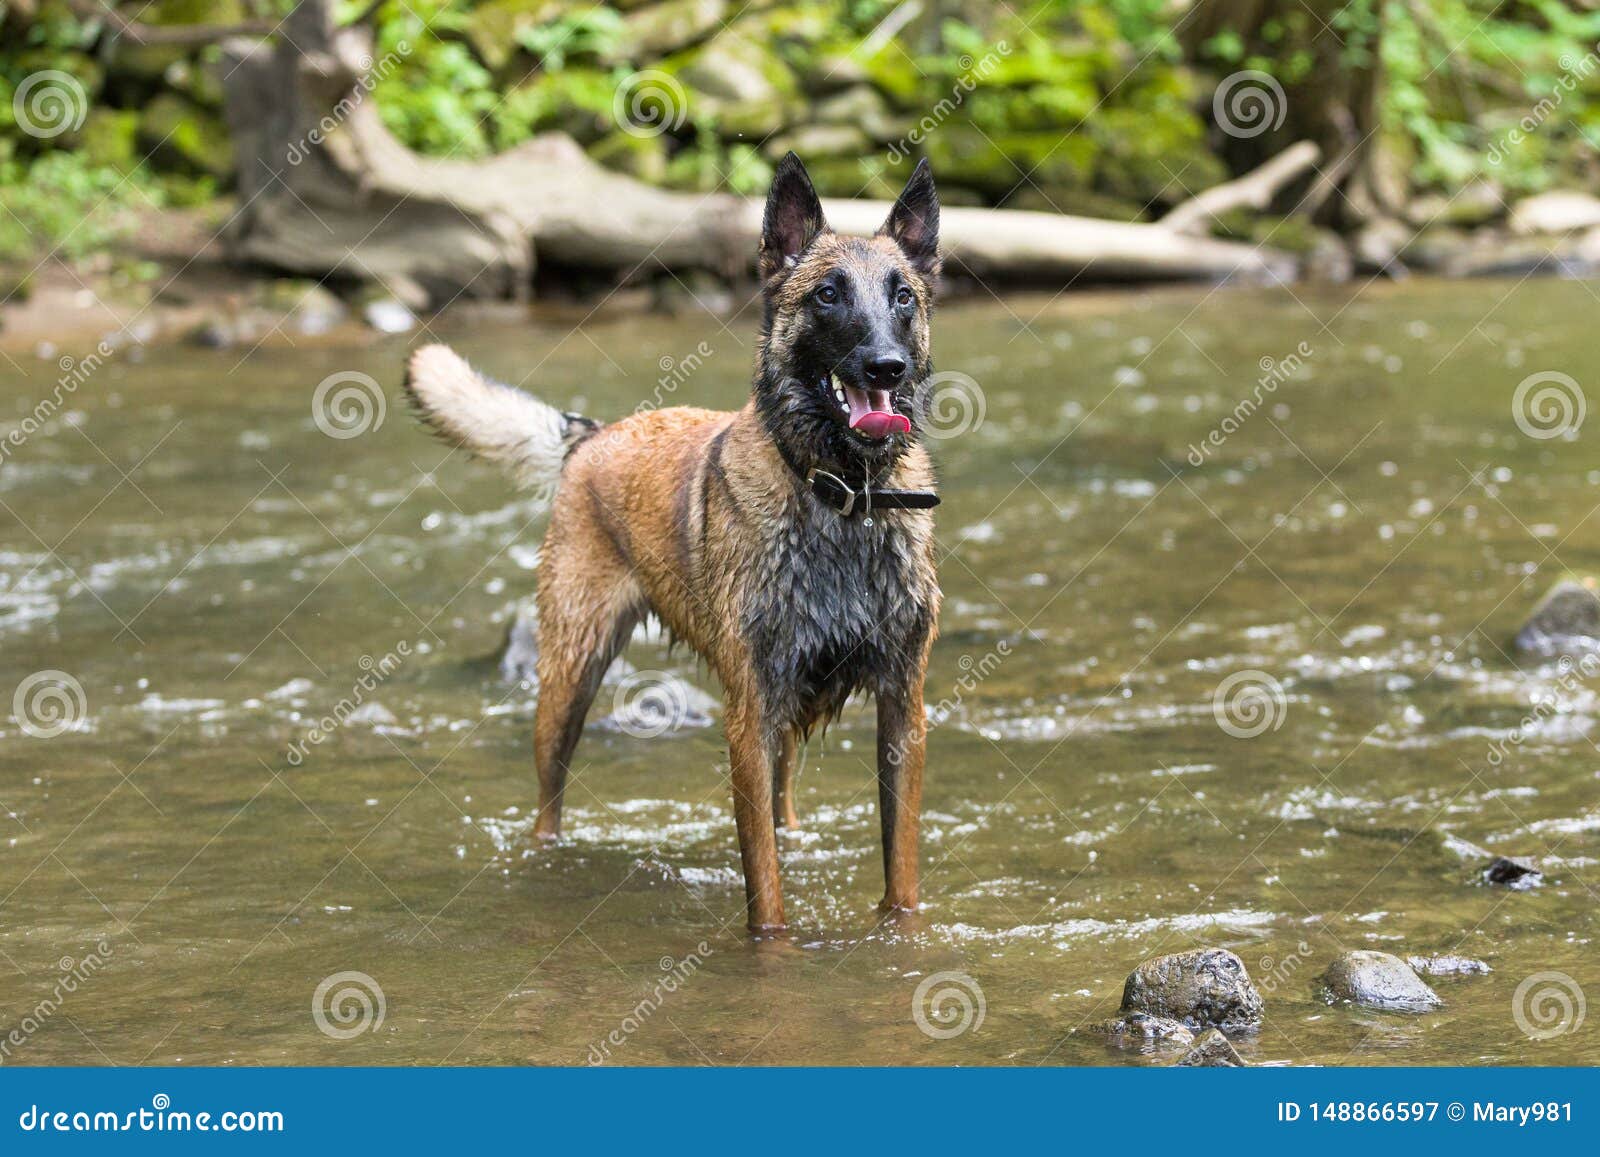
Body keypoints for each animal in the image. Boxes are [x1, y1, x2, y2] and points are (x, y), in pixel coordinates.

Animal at [406, 153, 940, 934]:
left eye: (903, 297)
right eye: (828, 296)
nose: (885, 367)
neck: (839, 497)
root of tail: (592, 435)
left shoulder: (901, 708)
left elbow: (900, 870)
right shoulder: (747, 719)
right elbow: (765, 890)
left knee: (784, 805)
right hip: (569, 680)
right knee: (547, 802)